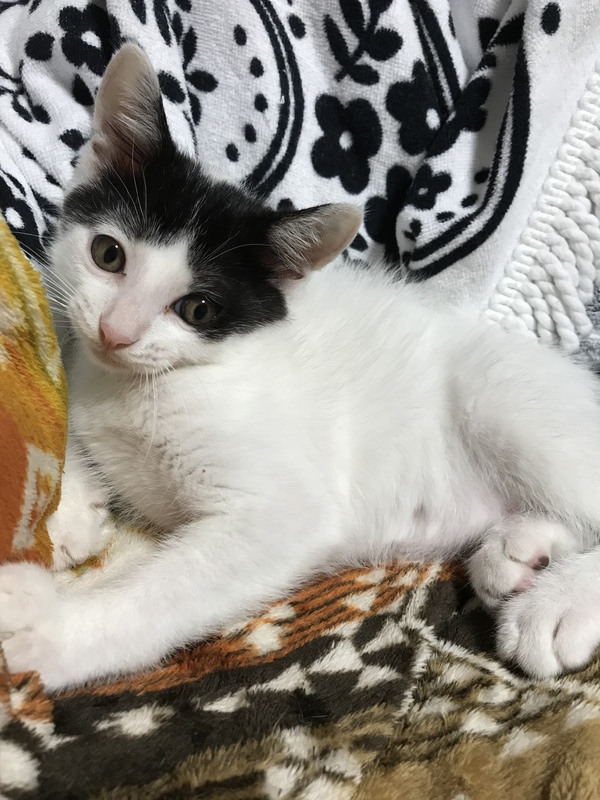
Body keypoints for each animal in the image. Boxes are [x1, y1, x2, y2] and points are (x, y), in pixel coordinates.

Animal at [2, 42, 600, 691]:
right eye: (108, 254)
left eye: (198, 309)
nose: (117, 331)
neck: (140, 384)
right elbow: (68, 405)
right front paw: (69, 514)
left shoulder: (283, 514)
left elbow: (159, 595)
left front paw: (49, 629)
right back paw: (520, 554)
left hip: (497, 393)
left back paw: (557, 605)